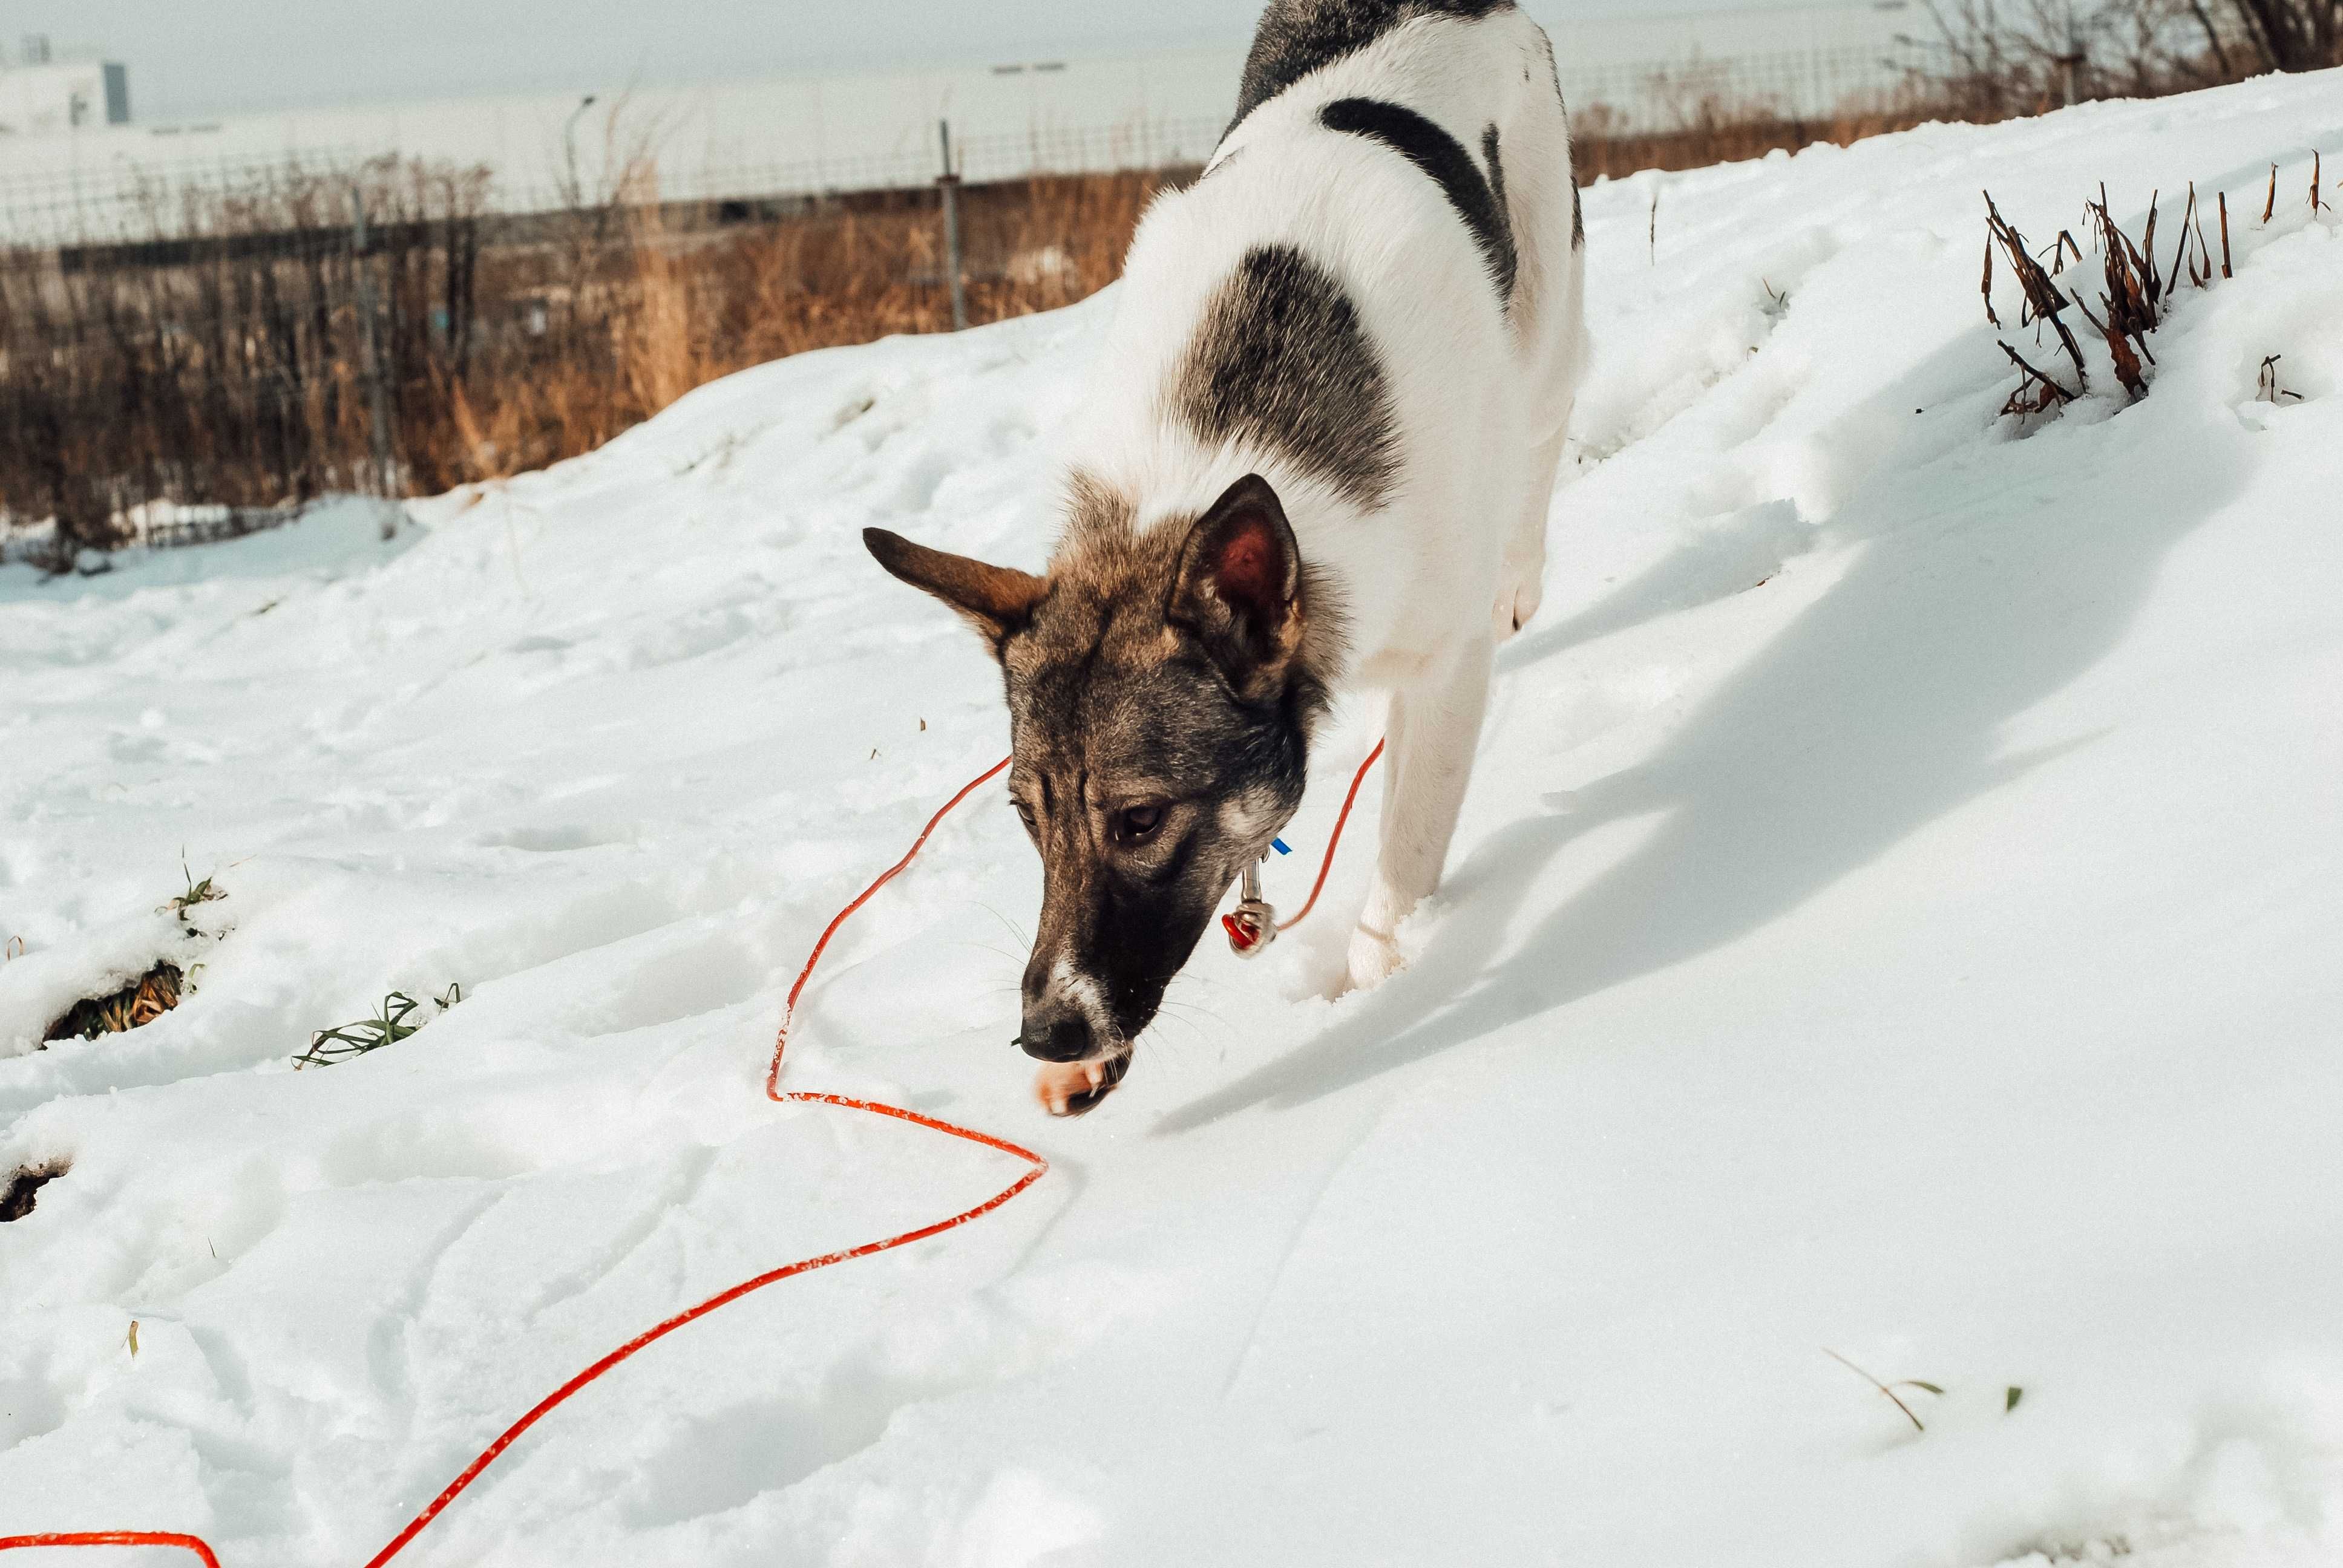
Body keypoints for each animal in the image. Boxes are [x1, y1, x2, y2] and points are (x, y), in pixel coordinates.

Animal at [867, 0, 1593, 1111]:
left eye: (1138, 821)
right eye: (1028, 817)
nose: (1044, 1032)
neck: (1212, 461)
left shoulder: (1441, 666)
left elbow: (1407, 852)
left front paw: (1379, 986)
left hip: (1546, 317)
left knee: (1545, 423)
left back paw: (1520, 571)